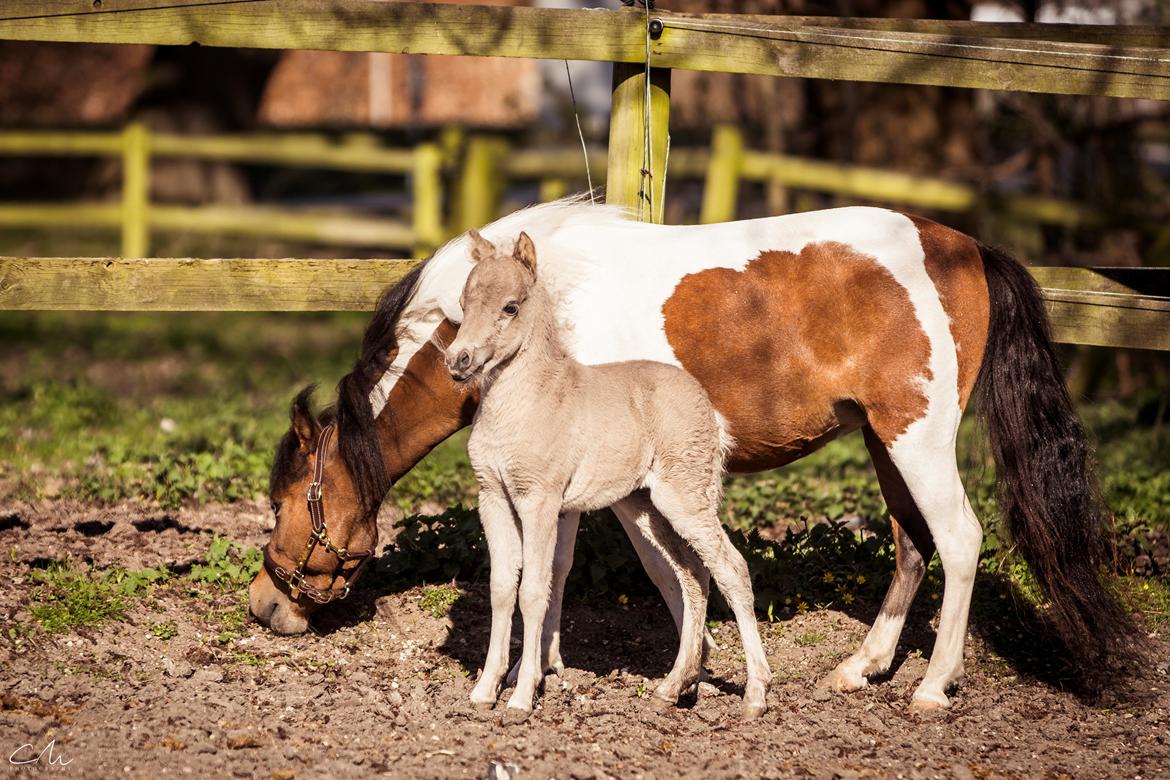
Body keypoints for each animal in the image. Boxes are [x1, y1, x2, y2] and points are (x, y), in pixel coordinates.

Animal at [253, 198, 1132, 711]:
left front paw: (682, 668)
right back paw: (862, 667)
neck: (553, 306)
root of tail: (971, 247)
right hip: (886, 442)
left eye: (288, 502)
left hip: (918, 439)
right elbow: (578, 569)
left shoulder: (600, 483)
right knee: (913, 545)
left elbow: (633, 572)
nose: (265, 607)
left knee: (959, 541)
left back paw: (933, 686)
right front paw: (568, 665)